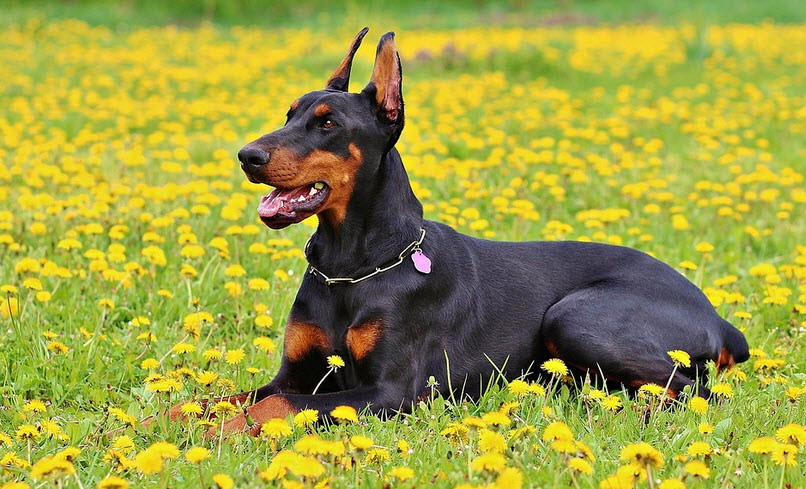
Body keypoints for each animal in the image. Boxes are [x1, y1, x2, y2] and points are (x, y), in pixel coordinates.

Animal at [169, 28, 752, 434]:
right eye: (289, 114)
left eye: (328, 123)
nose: (247, 156)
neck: (352, 266)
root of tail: (719, 319)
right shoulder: (295, 371)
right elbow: (221, 397)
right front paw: (163, 422)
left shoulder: (389, 392)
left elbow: (277, 405)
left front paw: (220, 434)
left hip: (576, 317)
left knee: (692, 392)